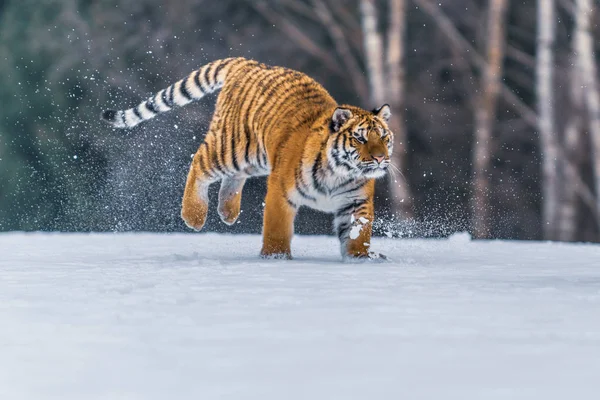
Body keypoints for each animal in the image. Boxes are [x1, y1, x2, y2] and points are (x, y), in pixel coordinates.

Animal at [102, 57, 394, 260]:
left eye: (383, 137)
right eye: (360, 138)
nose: (381, 159)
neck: (340, 172)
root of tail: (250, 62)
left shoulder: (356, 202)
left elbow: (358, 234)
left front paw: (360, 259)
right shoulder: (281, 191)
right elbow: (277, 228)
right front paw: (275, 258)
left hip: (255, 158)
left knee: (233, 177)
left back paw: (228, 212)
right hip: (231, 148)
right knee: (199, 161)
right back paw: (194, 216)